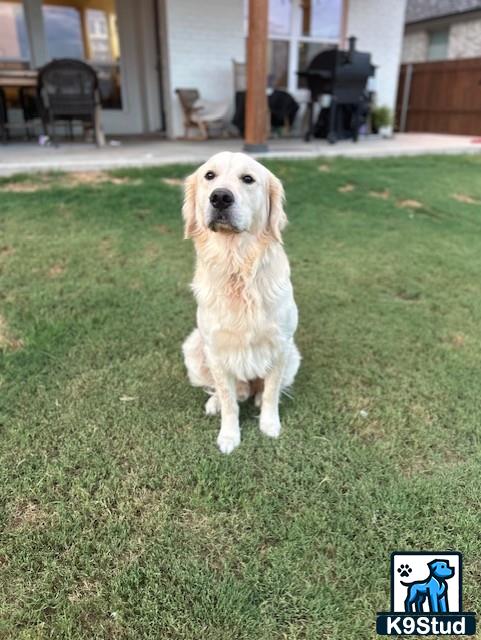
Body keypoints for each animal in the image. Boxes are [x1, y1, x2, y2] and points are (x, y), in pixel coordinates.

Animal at [181, 151, 298, 452]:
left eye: (248, 179)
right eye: (209, 176)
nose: (220, 197)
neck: (237, 265)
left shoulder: (280, 346)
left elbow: (270, 392)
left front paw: (269, 425)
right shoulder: (215, 350)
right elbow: (228, 401)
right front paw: (229, 436)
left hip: (294, 356)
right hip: (193, 348)